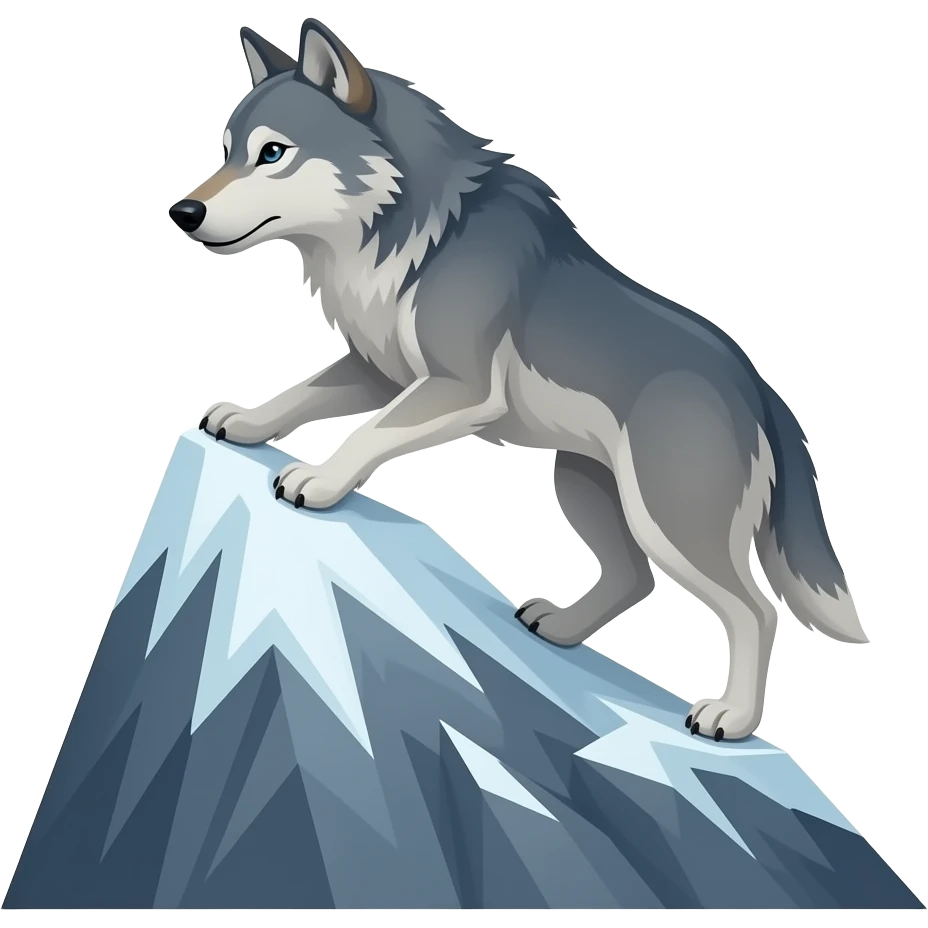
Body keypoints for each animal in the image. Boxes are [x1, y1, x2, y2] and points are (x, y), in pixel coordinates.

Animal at [167, 18, 869, 741]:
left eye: (273, 153)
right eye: (227, 151)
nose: (182, 213)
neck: (412, 232)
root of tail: (759, 386)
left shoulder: (454, 385)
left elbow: (367, 435)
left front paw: (320, 480)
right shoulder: (380, 371)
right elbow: (302, 394)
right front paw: (247, 422)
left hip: (668, 521)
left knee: (756, 609)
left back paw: (732, 717)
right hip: (584, 487)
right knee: (635, 581)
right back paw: (561, 628)